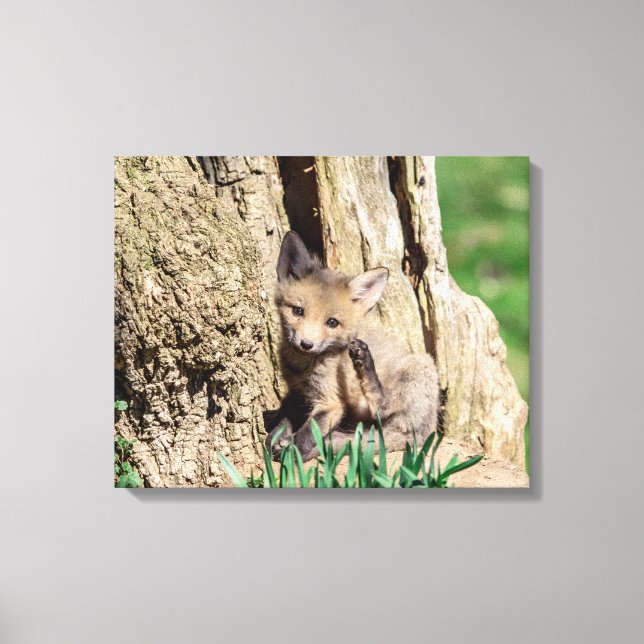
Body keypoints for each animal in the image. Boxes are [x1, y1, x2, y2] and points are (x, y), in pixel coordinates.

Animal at [266, 231, 440, 462]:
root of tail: (423, 434)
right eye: (298, 311)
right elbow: (284, 417)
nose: (306, 344)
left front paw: (292, 450)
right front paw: (276, 437)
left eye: (332, 322)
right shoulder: (298, 391)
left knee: (382, 407)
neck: (304, 367)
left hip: (420, 367)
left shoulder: (331, 402)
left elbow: (308, 432)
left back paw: (364, 362)